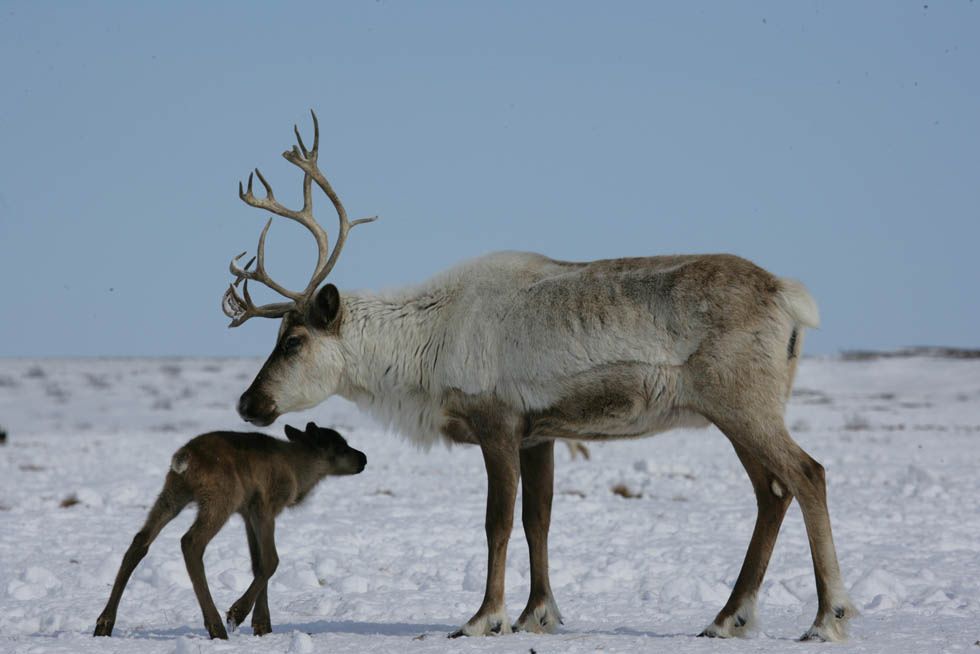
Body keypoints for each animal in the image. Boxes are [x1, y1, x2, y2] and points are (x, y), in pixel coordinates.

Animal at [93, 422, 364, 644]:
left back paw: (104, 623)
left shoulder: (246, 513)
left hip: (173, 493)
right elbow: (271, 560)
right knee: (190, 542)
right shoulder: (265, 506)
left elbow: (257, 563)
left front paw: (262, 625)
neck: (299, 472)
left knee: (140, 541)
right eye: (341, 446)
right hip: (221, 497)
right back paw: (216, 627)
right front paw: (238, 613)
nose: (363, 458)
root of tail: (185, 457)